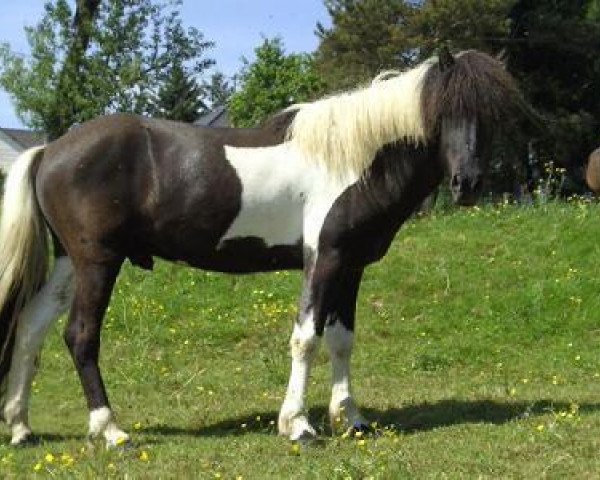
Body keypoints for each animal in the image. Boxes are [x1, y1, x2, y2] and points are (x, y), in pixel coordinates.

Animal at [0, 48, 524, 446]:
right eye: (444, 110)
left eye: (492, 116)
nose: (467, 183)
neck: (352, 159)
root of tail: (50, 150)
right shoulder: (325, 258)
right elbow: (306, 337)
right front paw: (298, 425)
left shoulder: (351, 265)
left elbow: (342, 339)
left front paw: (351, 419)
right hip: (98, 262)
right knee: (80, 336)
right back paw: (110, 430)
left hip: (70, 264)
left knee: (30, 327)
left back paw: (21, 427)